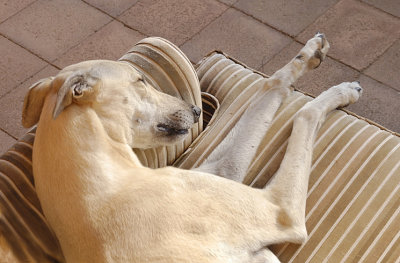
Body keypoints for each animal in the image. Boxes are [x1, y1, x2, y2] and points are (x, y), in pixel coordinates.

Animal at [21, 34, 362, 262]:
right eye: (140, 79)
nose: (197, 111)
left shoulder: (218, 172)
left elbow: (269, 87)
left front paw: (309, 56)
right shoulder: (280, 210)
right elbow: (304, 113)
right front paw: (339, 92)